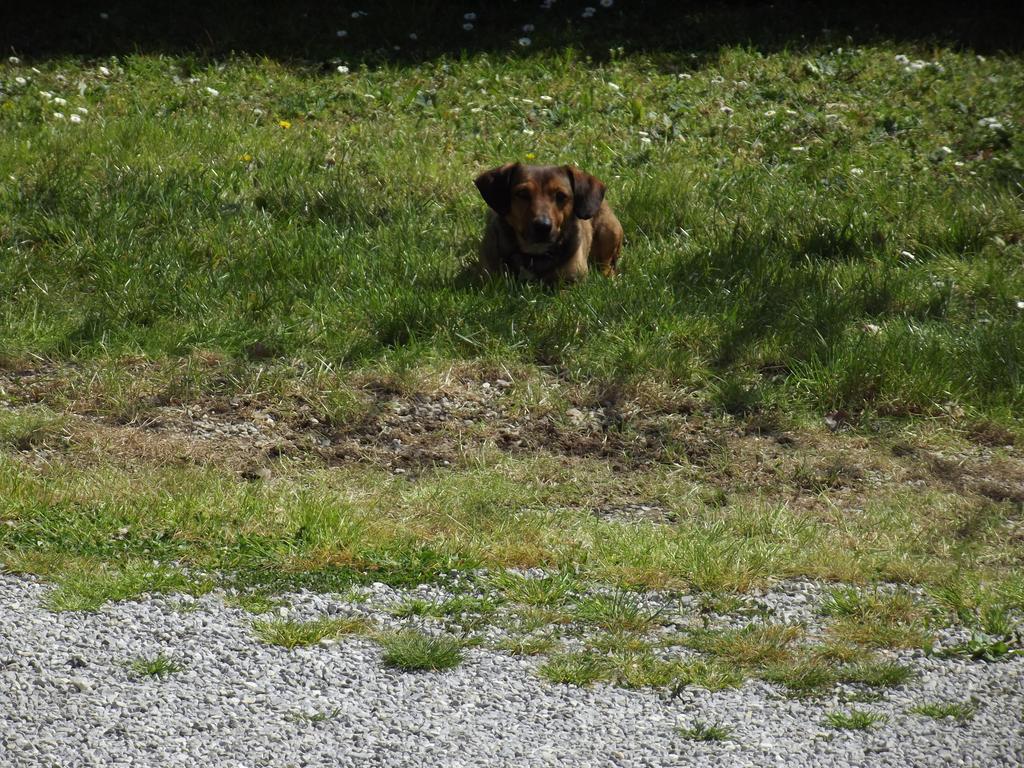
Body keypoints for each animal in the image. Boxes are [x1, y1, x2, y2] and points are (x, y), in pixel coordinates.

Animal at [471, 163, 622, 284]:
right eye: (522, 193)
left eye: (561, 195)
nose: (543, 226)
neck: (534, 254)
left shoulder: (572, 280)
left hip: (609, 232)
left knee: (606, 264)